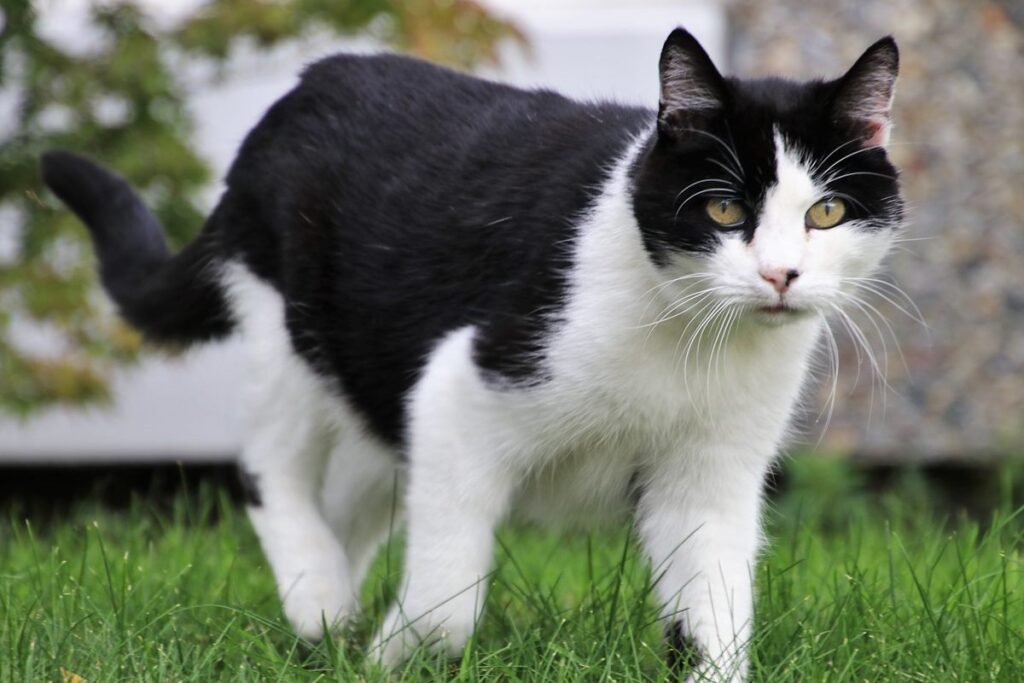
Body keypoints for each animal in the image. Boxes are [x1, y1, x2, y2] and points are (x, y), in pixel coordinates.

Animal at [41, 28, 905, 683]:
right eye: (724, 209)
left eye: (827, 213)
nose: (781, 274)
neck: (692, 339)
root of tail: (300, 89)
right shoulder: (461, 389)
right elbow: (448, 591)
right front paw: (394, 659)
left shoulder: (714, 476)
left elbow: (713, 613)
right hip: (288, 327)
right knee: (270, 465)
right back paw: (321, 600)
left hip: (369, 385)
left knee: (349, 497)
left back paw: (324, 621)